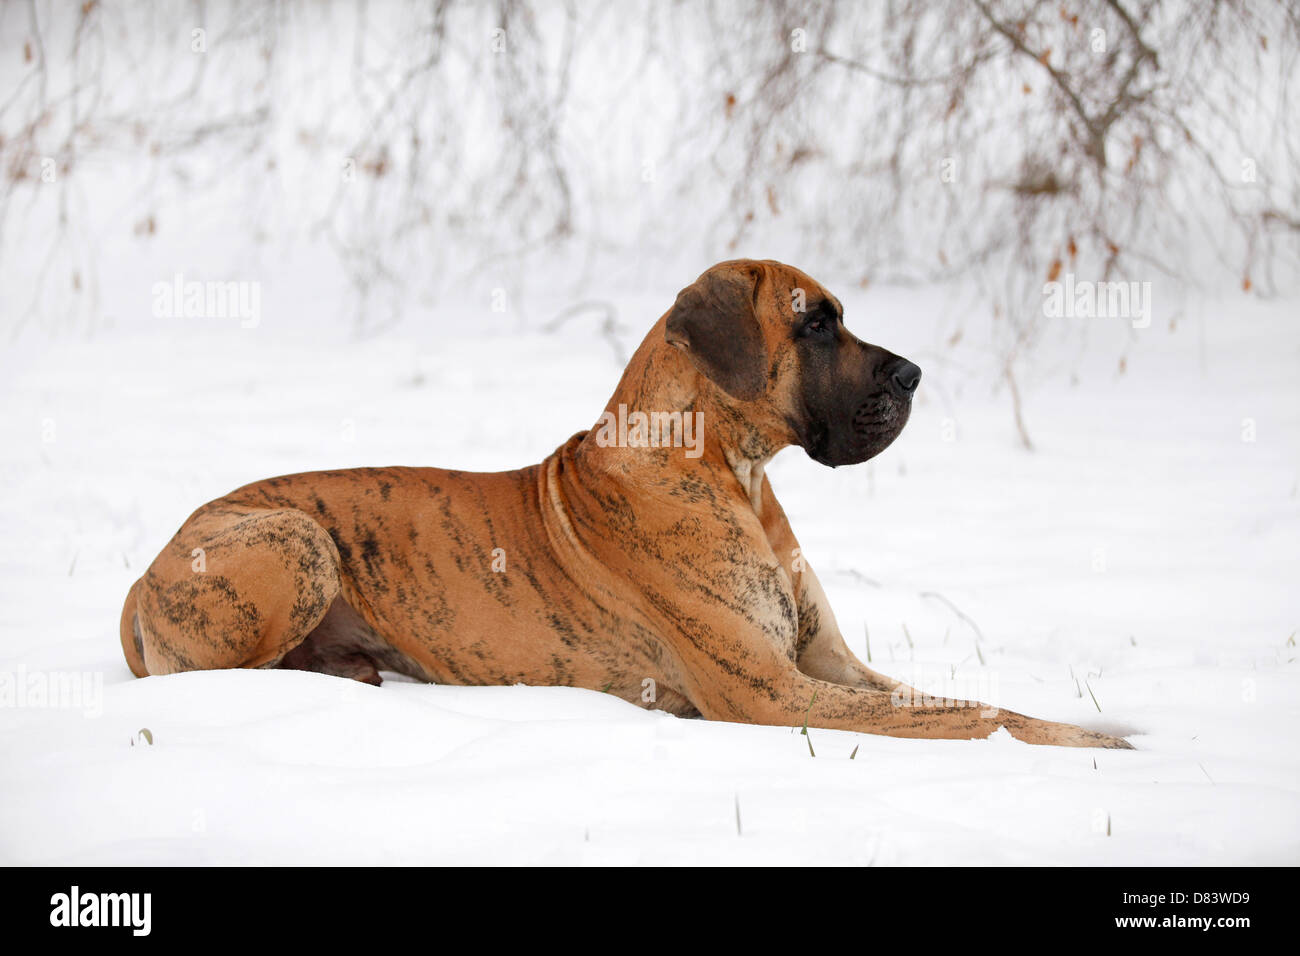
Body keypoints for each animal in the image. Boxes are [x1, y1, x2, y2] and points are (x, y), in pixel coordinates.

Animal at [122, 260, 1133, 749]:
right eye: (816, 324)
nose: (915, 373)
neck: (733, 475)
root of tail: (141, 576)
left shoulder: (831, 668)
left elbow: (968, 698)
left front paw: (1107, 725)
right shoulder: (777, 693)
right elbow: (971, 716)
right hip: (294, 538)